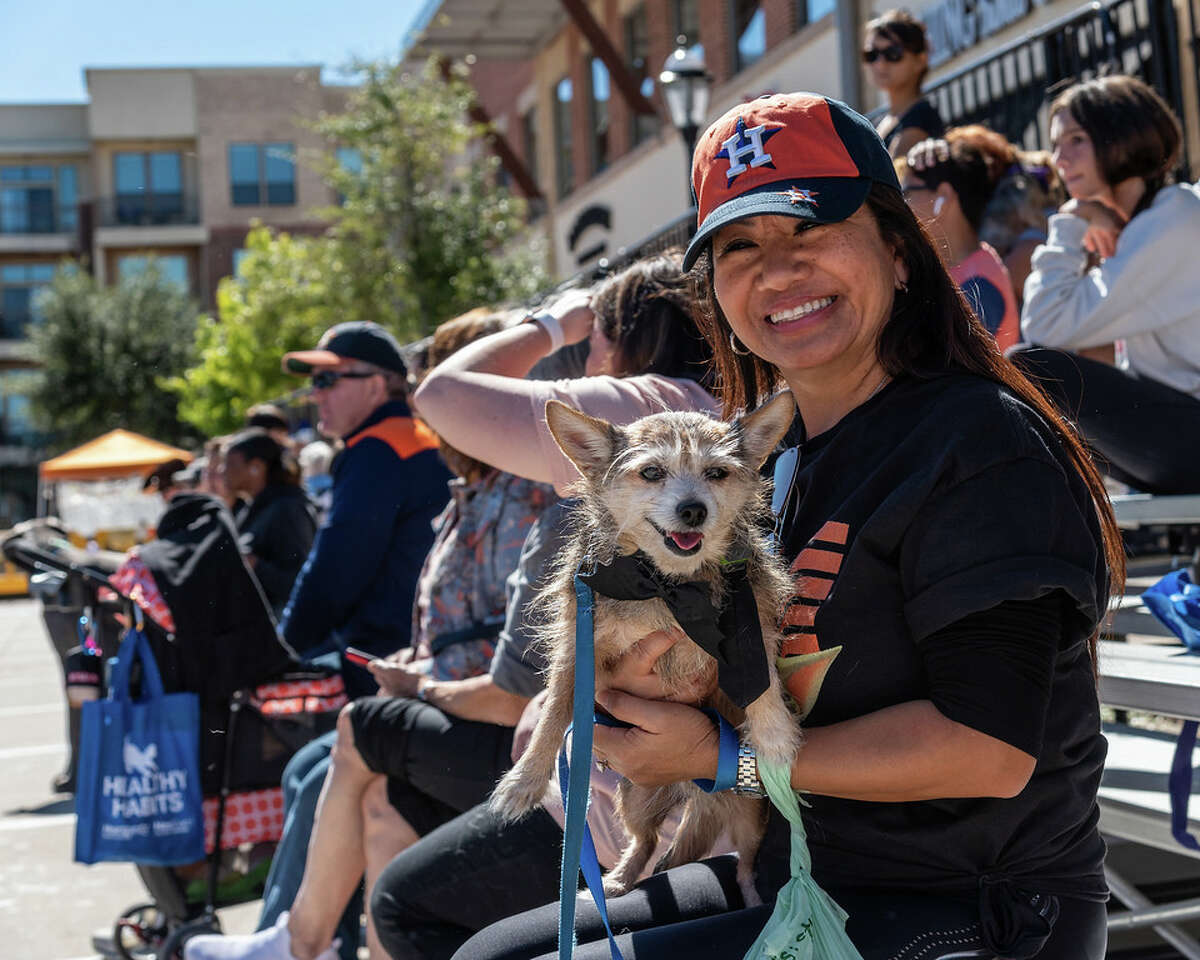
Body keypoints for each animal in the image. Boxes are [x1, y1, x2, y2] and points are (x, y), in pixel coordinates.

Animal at [492, 391, 801, 907]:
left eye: (717, 473)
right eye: (653, 472)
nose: (694, 510)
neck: (668, 585)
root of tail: (694, 790)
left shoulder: (753, 619)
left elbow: (763, 683)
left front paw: (776, 735)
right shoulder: (579, 647)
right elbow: (554, 712)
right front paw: (525, 780)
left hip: (750, 813)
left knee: (744, 864)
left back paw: (757, 901)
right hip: (636, 798)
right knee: (647, 842)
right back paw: (617, 881)